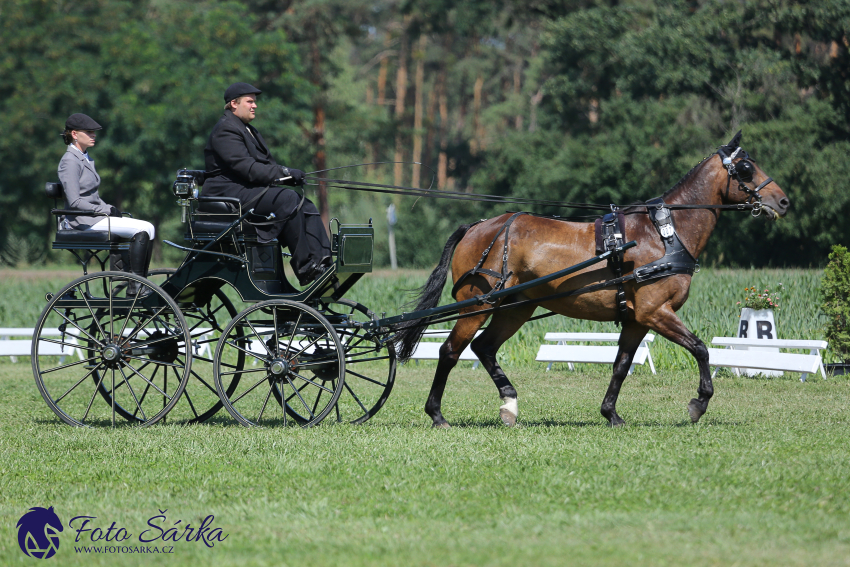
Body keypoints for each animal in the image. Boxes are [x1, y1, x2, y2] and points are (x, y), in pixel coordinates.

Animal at [396, 132, 788, 426]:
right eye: (746, 167)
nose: (783, 202)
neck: (664, 234)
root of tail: (478, 227)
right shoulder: (656, 311)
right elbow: (701, 348)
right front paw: (698, 404)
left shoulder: (636, 319)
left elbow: (621, 365)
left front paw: (610, 413)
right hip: (477, 305)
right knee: (450, 350)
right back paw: (437, 415)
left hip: (515, 308)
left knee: (484, 348)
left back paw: (509, 404)